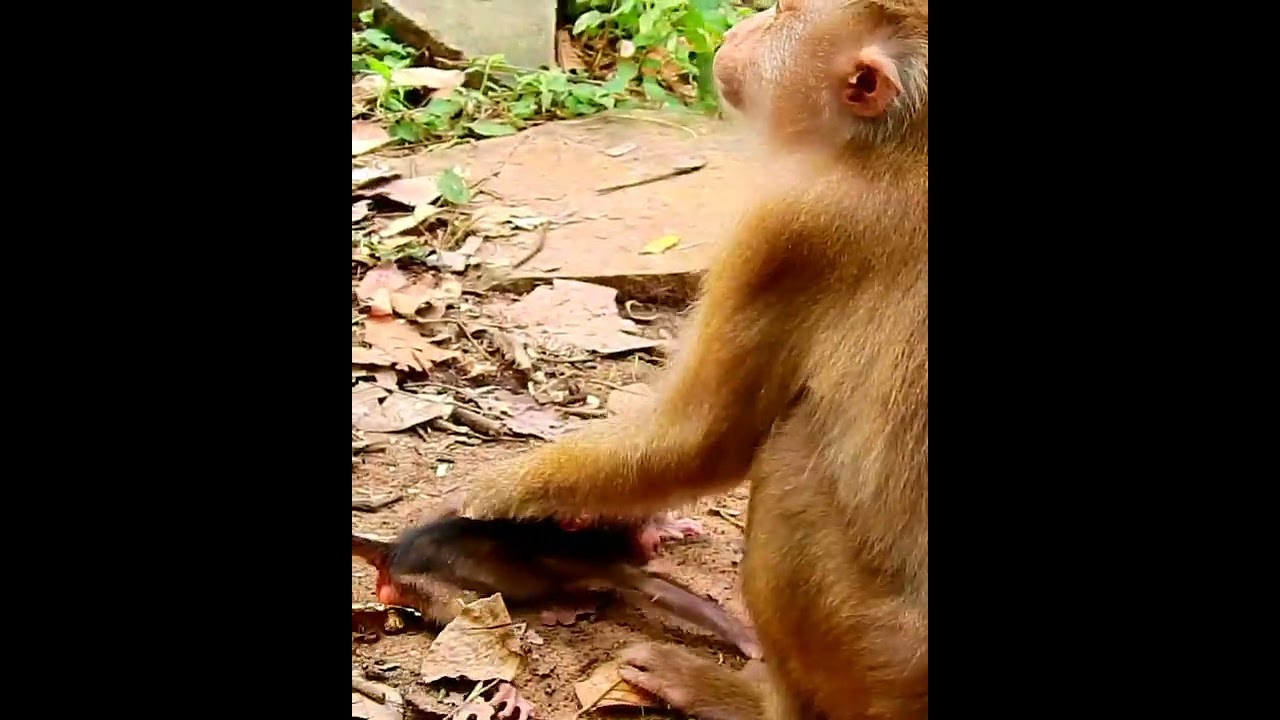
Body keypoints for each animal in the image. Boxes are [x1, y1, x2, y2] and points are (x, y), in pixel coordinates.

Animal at [351, 514, 763, 659]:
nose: (651, 539)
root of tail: (391, 551)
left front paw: (674, 526)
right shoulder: (608, 562)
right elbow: (665, 593)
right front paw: (745, 636)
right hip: (426, 585)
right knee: (465, 608)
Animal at [458, 0, 928, 717]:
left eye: (784, 13)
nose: (742, 28)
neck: (905, 141)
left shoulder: (789, 227)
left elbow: (702, 439)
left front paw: (491, 497)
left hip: (872, 654)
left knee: (788, 456)